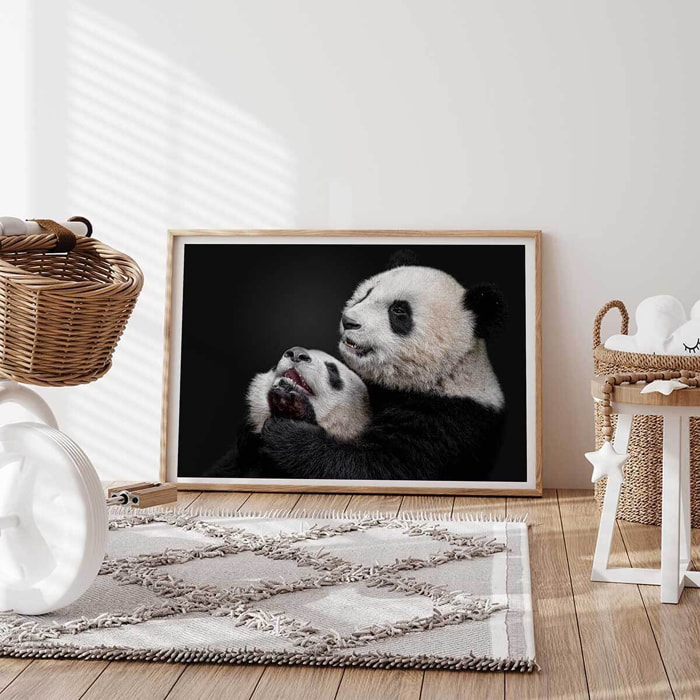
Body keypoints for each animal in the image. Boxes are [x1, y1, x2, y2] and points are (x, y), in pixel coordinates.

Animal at [260, 260, 506, 482]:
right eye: (366, 294)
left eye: (398, 310)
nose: (348, 321)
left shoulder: (447, 422)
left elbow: (375, 467)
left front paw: (288, 427)